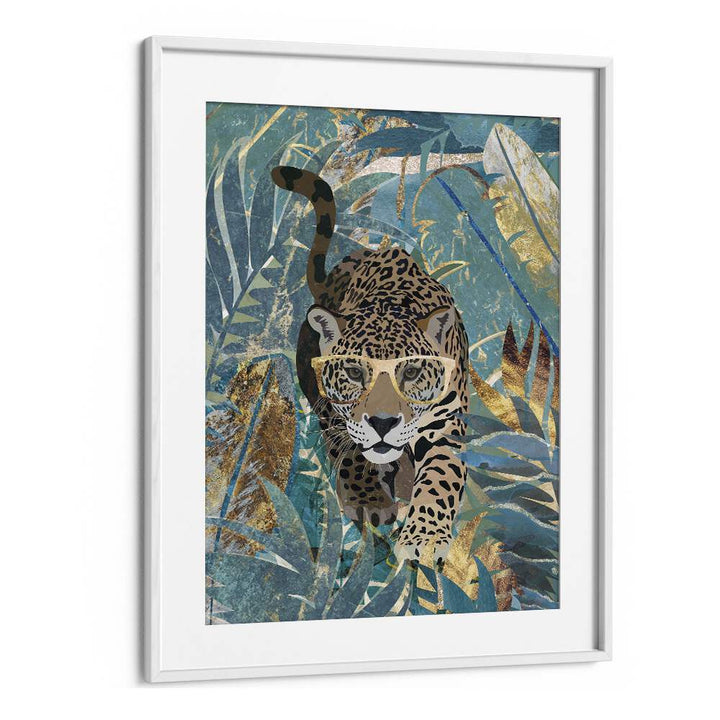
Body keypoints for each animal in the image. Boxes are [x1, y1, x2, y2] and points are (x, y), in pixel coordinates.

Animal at [271, 165, 469, 565]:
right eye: (353, 372)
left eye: (411, 372)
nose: (382, 423)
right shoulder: (333, 409)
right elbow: (349, 450)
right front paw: (369, 500)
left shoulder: (445, 426)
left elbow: (441, 476)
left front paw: (424, 538)